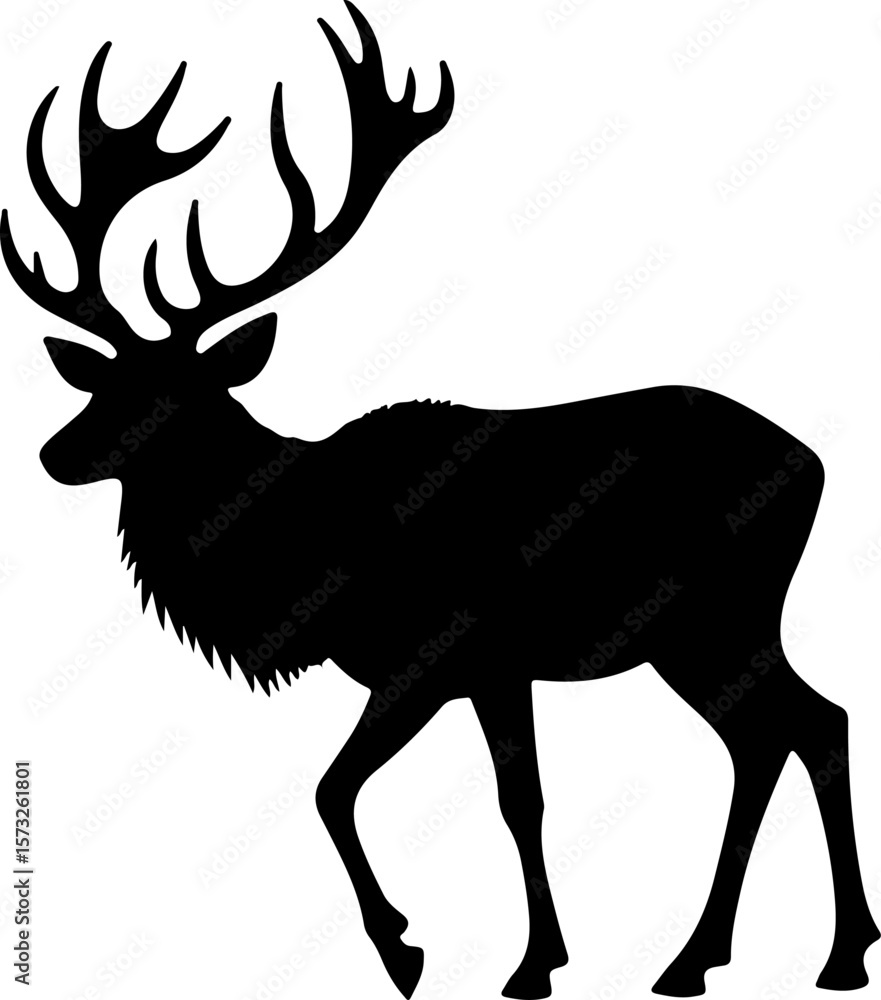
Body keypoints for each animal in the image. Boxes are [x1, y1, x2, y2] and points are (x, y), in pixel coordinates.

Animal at [2, 3, 878, 998]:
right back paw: (751, 955)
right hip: (706, 633)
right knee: (793, 726)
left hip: (717, 618)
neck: (299, 565)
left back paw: (786, 954)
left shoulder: (448, 655)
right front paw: (527, 956)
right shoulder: (483, 672)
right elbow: (499, 798)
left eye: (176, 397)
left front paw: (428, 952)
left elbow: (363, 791)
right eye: (102, 383)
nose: (52, 453)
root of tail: (814, 465)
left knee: (798, 725)